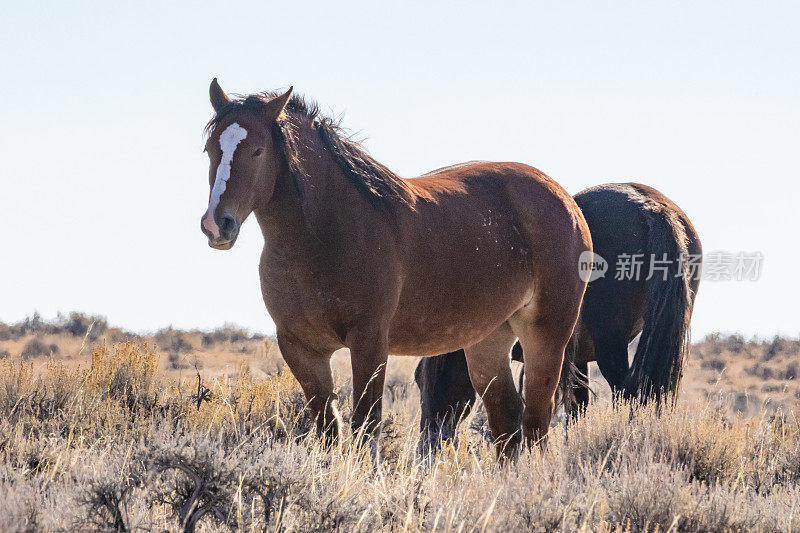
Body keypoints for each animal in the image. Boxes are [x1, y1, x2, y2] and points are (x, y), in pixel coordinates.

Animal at [198, 80, 592, 454]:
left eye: (257, 150)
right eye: (211, 150)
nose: (217, 225)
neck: (324, 237)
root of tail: (566, 201)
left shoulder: (370, 342)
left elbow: (365, 427)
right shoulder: (299, 348)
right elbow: (329, 429)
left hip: (546, 333)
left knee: (536, 422)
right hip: (489, 338)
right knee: (507, 421)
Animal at [416, 184, 704, 448]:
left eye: (420, 380)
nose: (427, 446)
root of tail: (649, 206)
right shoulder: (577, 360)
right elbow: (578, 408)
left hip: (611, 344)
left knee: (628, 393)